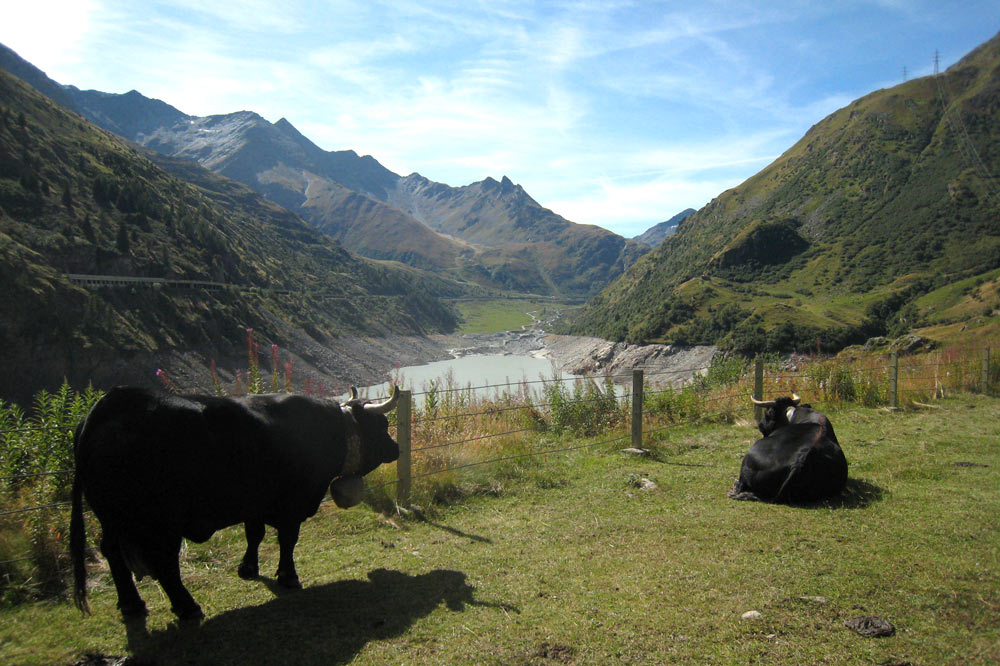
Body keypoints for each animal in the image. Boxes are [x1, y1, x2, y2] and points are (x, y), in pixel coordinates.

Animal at [70, 384, 400, 616]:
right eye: (382, 426)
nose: (396, 448)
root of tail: (110, 404)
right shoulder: (291, 504)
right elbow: (287, 540)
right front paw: (288, 576)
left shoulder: (255, 502)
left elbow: (254, 534)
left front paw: (248, 568)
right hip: (161, 522)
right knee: (164, 563)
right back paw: (187, 607)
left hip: (111, 519)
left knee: (113, 552)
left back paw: (132, 604)